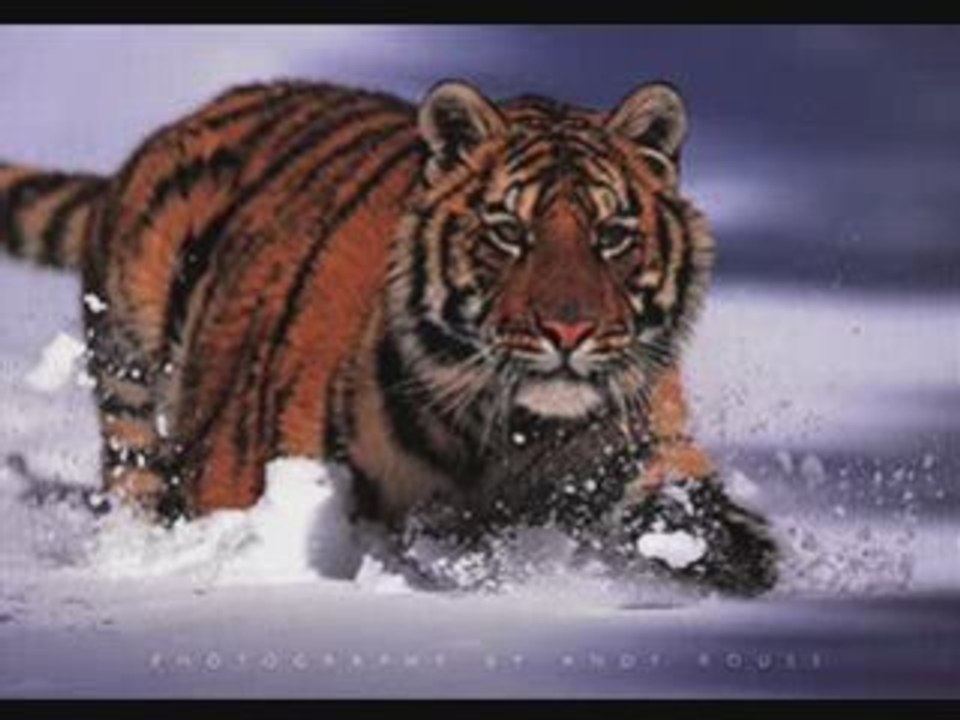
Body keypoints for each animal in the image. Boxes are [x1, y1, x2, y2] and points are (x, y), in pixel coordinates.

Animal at [0, 78, 778, 595]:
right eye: (509, 231)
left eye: (612, 235)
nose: (569, 328)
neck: (512, 435)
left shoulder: (647, 445)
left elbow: (698, 522)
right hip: (131, 370)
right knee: (133, 476)